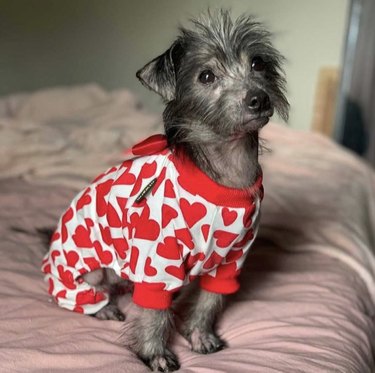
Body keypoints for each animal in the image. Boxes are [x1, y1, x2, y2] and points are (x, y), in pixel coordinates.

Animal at [41, 9, 290, 372]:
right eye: (206, 76)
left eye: (258, 63)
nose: (258, 98)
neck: (225, 171)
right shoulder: (157, 264)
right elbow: (154, 315)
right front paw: (154, 353)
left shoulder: (230, 260)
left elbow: (209, 301)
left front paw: (198, 335)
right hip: (85, 268)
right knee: (75, 292)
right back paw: (101, 307)